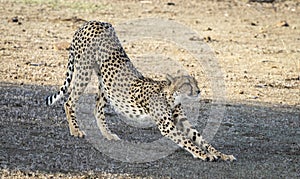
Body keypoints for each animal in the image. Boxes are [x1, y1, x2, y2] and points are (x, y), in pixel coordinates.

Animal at [45, 21, 236, 162]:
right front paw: (203, 154)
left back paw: (107, 134)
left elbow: (200, 138)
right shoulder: (166, 126)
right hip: (84, 69)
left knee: (97, 107)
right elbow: (187, 141)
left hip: (105, 83)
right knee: (69, 100)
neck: (171, 96)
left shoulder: (181, 121)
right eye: (187, 84)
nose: (198, 91)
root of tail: (92, 22)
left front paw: (221, 154)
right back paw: (76, 130)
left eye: (196, 82)